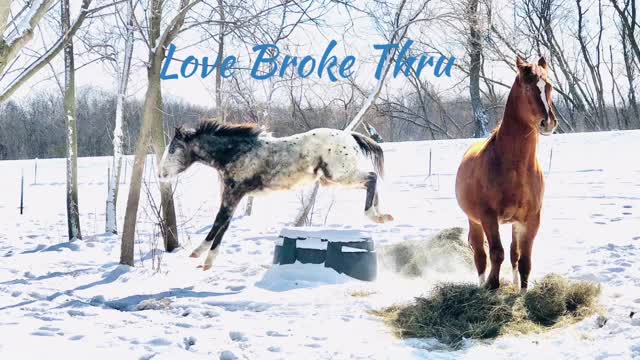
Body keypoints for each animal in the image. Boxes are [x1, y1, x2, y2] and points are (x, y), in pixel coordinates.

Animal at [158, 121, 392, 270]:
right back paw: (382, 216)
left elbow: (220, 221)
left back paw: (374, 215)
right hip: (333, 180)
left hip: (339, 176)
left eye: (173, 149)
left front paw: (201, 256)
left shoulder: (234, 193)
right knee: (371, 181)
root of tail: (350, 136)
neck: (236, 152)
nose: (161, 174)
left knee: (371, 177)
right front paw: (203, 259)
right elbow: (223, 224)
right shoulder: (233, 195)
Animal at [456, 57, 556, 292]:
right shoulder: (488, 217)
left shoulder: (531, 219)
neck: (516, 167)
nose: (548, 122)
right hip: (474, 221)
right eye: (528, 87)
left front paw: (523, 291)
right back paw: (481, 283)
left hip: (514, 223)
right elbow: (496, 253)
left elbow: (524, 259)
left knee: (513, 253)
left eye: (549, 86)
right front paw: (492, 286)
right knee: (480, 255)